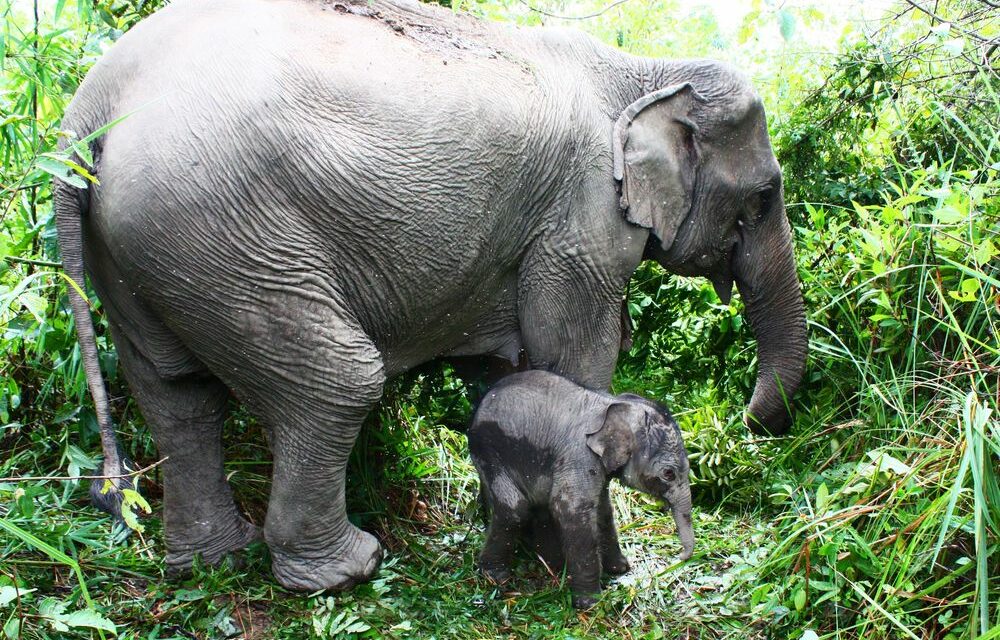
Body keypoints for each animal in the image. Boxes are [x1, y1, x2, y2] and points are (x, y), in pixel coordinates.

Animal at [468, 370, 693, 609]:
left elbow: (603, 511)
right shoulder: (579, 456)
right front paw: (591, 603)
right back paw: (496, 577)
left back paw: (553, 566)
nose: (679, 558)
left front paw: (621, 569)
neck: (612, 403)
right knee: (514, 509)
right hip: (490, 451)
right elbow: (571, 510)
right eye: (668, 474)